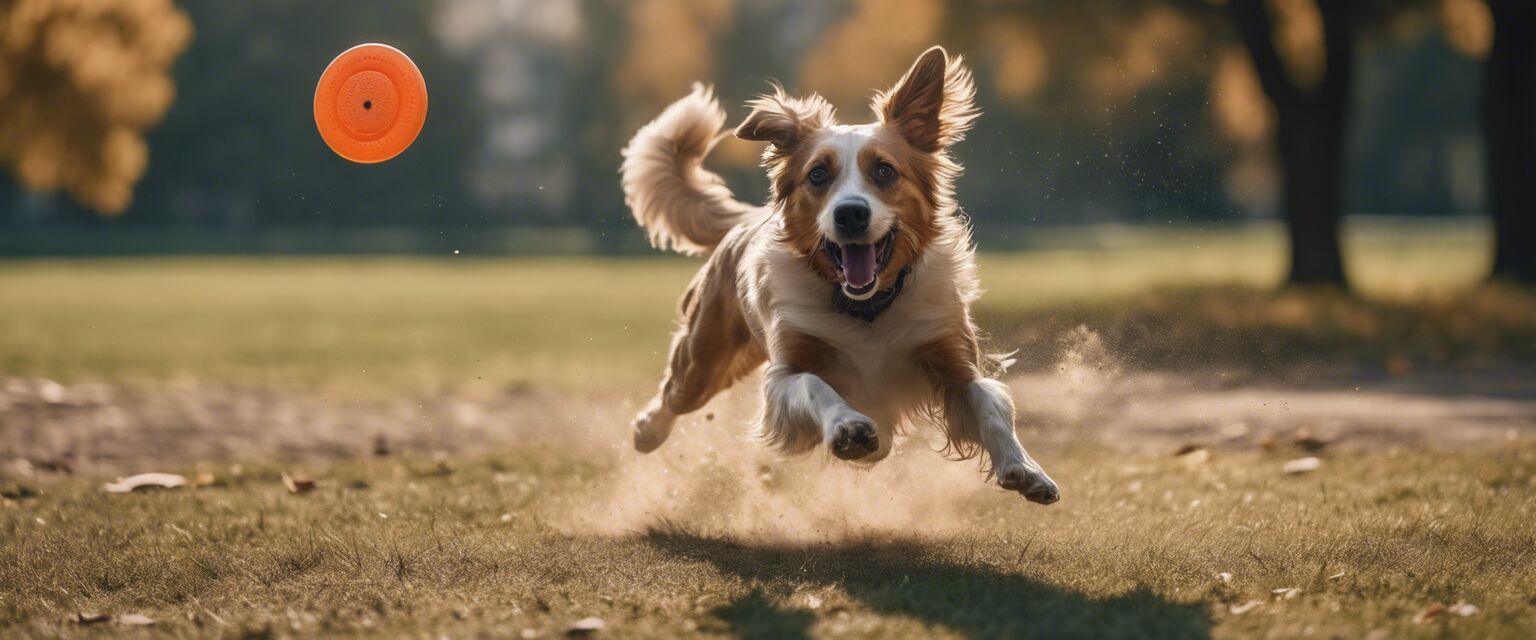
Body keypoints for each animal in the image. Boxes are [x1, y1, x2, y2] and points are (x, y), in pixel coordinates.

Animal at [617, 46, 1062, 503]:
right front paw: (848, 426)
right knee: (676, 393)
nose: (850, 213)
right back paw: (647, 431)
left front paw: (1024, 467)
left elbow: (990, 401)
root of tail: (747, 217)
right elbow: (814, 384)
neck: (866, 308)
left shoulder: (950, 354)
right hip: (705, 356)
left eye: (884, 170)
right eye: (818, 174)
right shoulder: (785, 373)